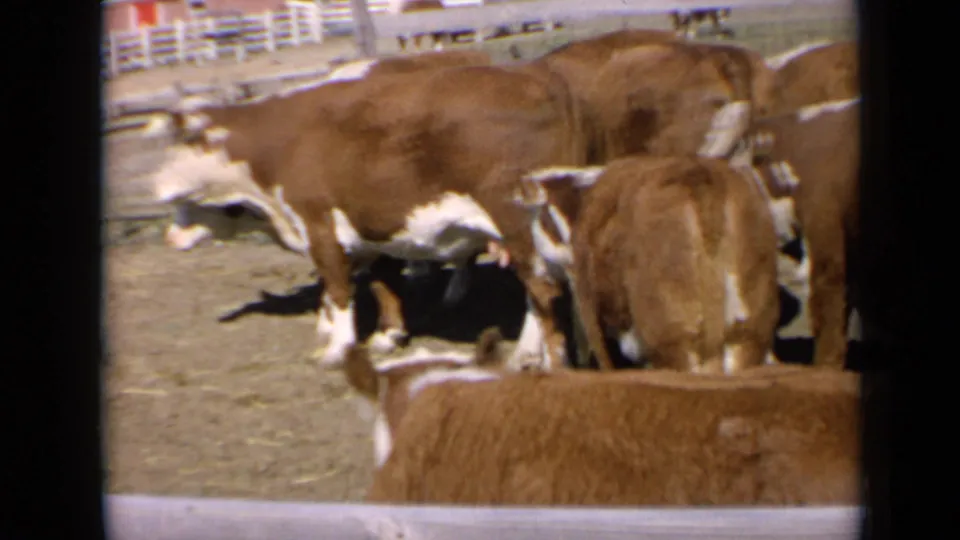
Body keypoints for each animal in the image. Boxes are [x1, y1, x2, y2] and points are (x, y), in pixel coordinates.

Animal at [143, 63, 587, 370]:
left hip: (519, 225)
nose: (169, 236)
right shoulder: (370, 231)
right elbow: (378, 283)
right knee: (545, 292)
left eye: (177, 145)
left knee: (545, 291)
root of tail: (536, 77)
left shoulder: (319, 225)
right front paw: (384, 336)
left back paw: (549, 362)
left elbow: (339, 289)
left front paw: (337, 348)